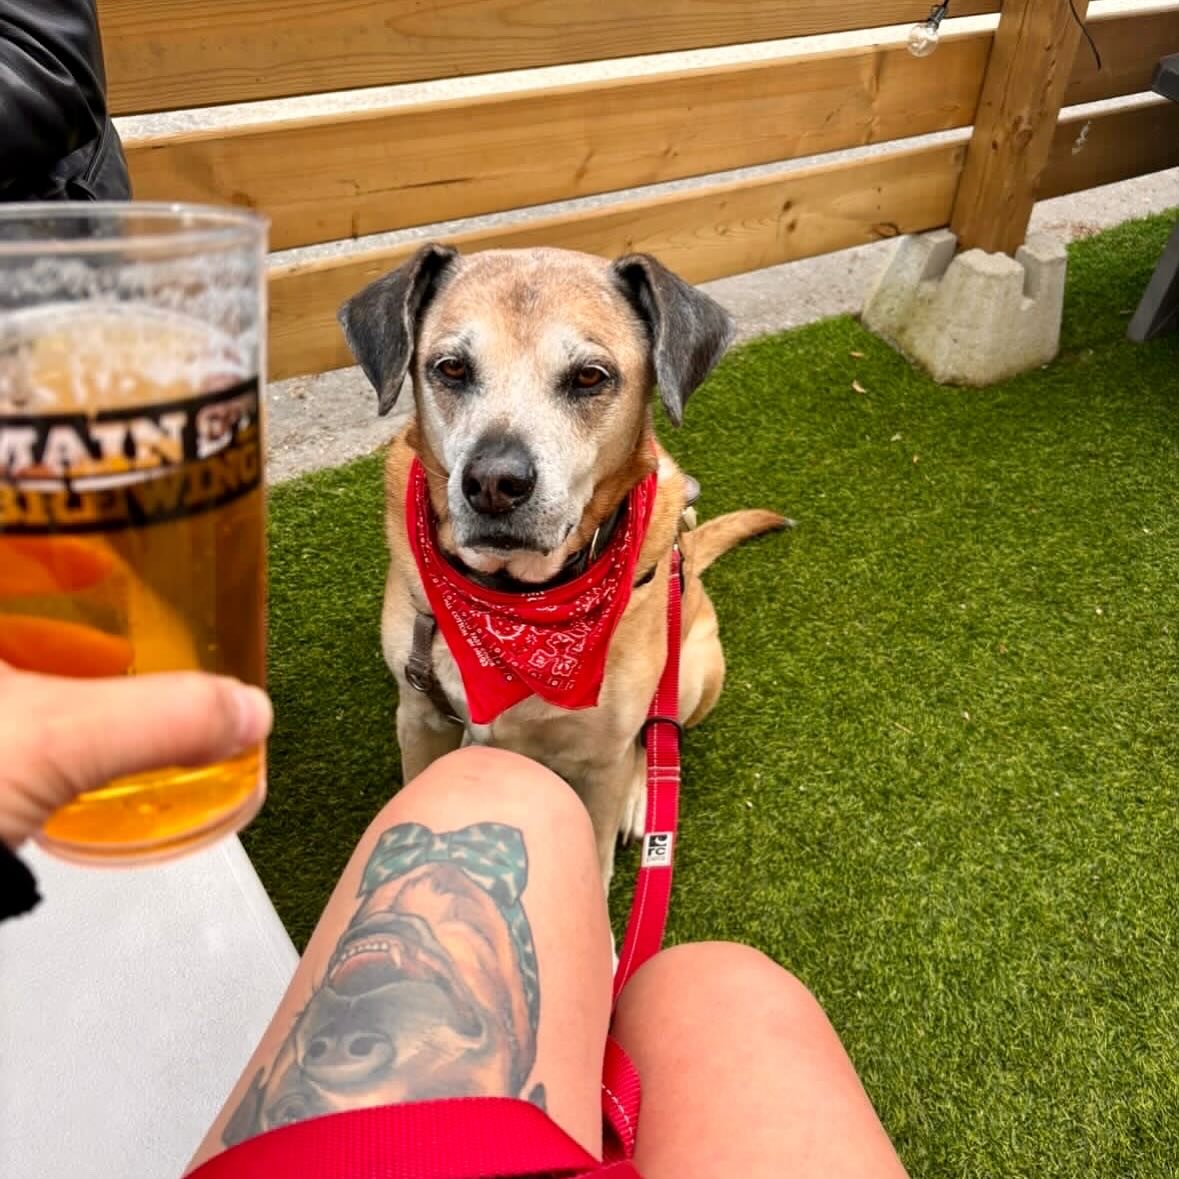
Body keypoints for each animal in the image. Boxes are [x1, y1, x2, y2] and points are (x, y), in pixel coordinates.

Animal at [339, 241, 782, 886]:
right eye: (451, 368)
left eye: (589, 377)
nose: (493, 483)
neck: (515, 600)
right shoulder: (418, 717)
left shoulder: (600, 760)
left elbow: (598, 851)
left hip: (692, 674)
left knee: (657, 737)